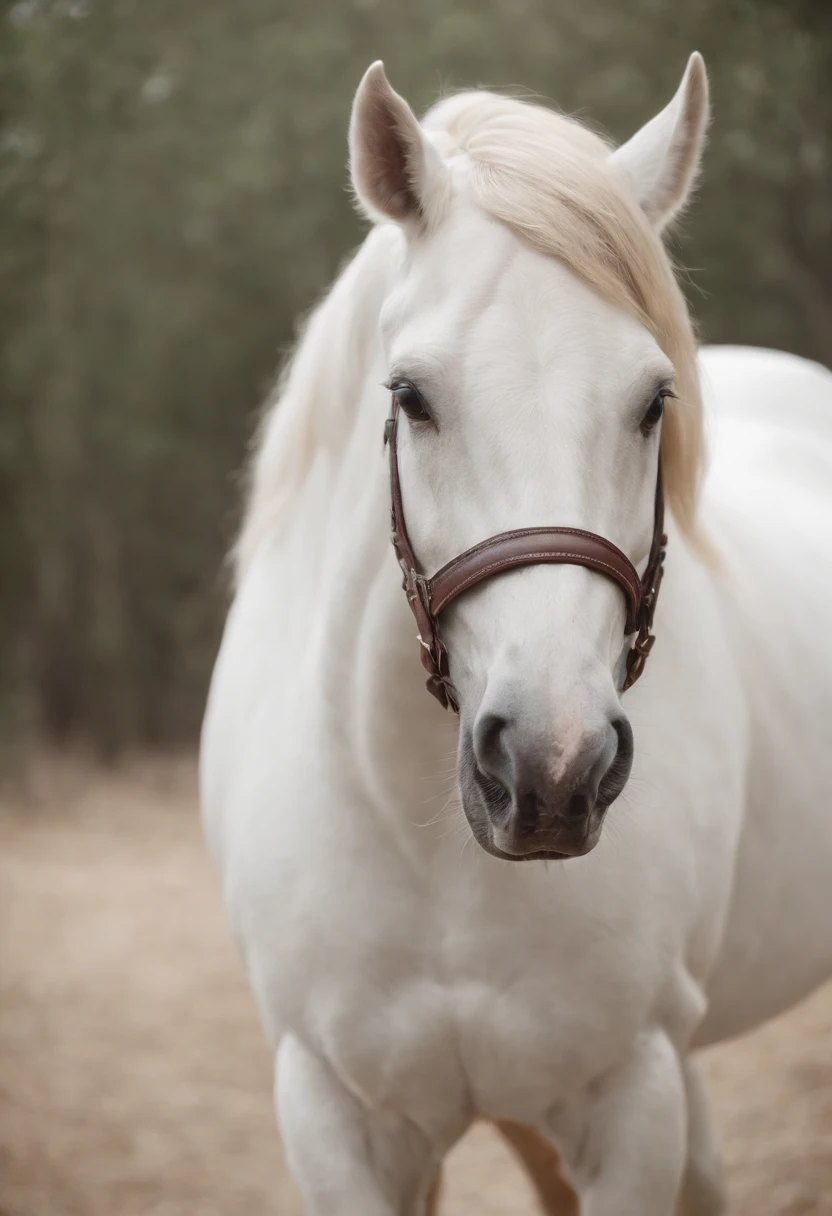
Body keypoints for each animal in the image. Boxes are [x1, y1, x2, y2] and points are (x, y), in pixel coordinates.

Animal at [199, 57, 832, 1216]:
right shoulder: (333, 1110)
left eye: (654, 401)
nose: (550, 767)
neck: (424, 843)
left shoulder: (630, 1097)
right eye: (410, 395)